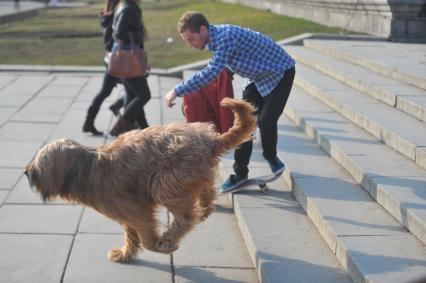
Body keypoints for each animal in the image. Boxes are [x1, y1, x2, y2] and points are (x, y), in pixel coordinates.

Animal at [25, 98, 255, 264]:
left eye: (40, 164)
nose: (26, 172)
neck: (88, 170)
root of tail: (210, 141)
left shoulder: (136, 209)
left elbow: (145, 234)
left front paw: (161, 247)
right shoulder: (126, 213)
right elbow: (131, 234)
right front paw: (125, 254)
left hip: (166, 181)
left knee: (186, 217)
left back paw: (170, 238)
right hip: (192, 175)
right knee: (205, 195)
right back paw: (205, 208)